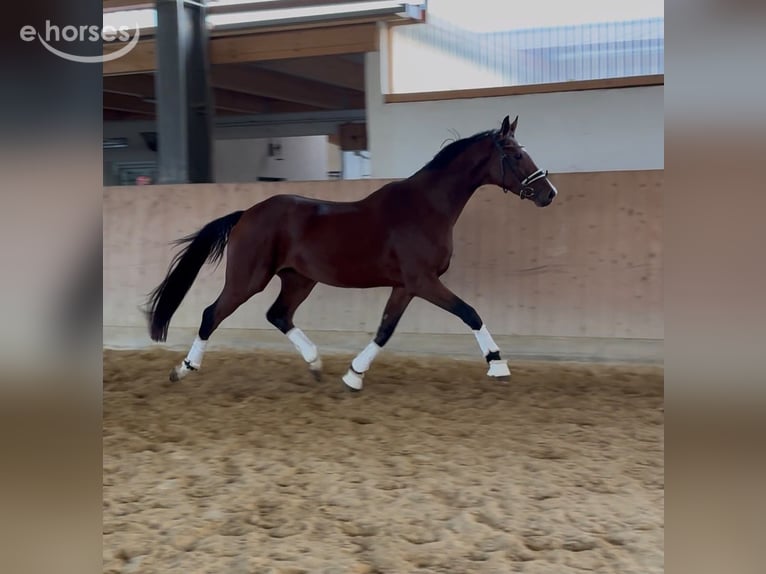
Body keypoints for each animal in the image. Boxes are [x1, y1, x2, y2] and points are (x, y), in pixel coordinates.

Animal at [144, 115, 558, 391]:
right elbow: (470, 313)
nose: (548, 193)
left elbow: (385, 329)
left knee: (278, 315)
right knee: (211, 314)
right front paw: (498, 365)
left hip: (299, 279)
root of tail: (246, 214)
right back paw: (183, 369)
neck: (426, 207)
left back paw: (315, 363)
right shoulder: (423, 281)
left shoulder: (406, 286)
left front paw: (354, 375)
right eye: (516, 155)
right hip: (248, 279)